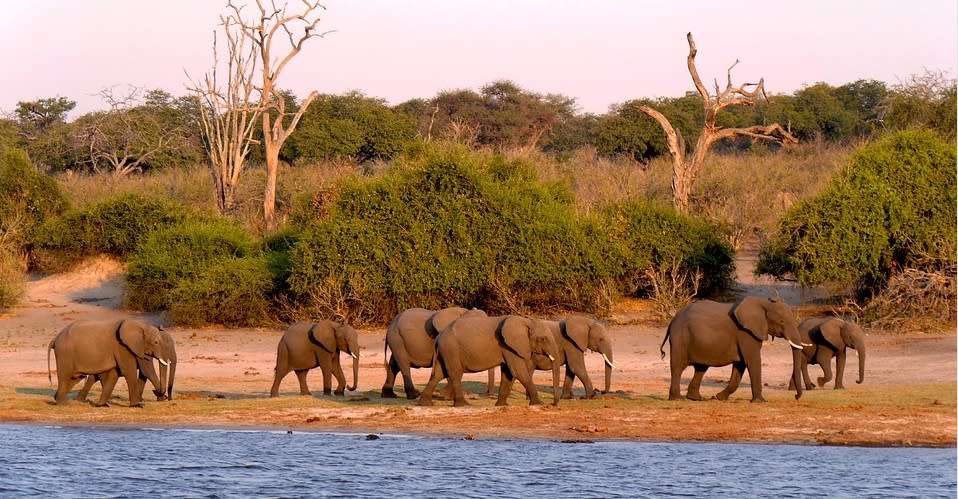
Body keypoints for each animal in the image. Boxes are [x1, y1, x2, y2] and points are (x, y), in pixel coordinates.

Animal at [418, 314, 564, 408]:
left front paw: (501, 405)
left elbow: (508, 374)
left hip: (445, 351)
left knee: (438, 374)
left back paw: (425, 404)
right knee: (455, 374)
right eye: (542, 339)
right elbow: (518, 372)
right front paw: (539, 404)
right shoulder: (508, 345)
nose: (553, 404)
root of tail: (439, 337)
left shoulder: (508, 347)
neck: (526, 321)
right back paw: (463, 405)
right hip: (451, 349)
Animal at [660, 294, 808, 404]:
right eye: (781, 321)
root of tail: (672, 320)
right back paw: (677, 399)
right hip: (680, 337)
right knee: (678, 366)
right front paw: (761, 402)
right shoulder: (745, 332)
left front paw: (719, 397)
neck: (763, 303)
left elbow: (740, 365)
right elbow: (752, 361)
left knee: (701, 368)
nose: (795, 396)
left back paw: (697, 398)